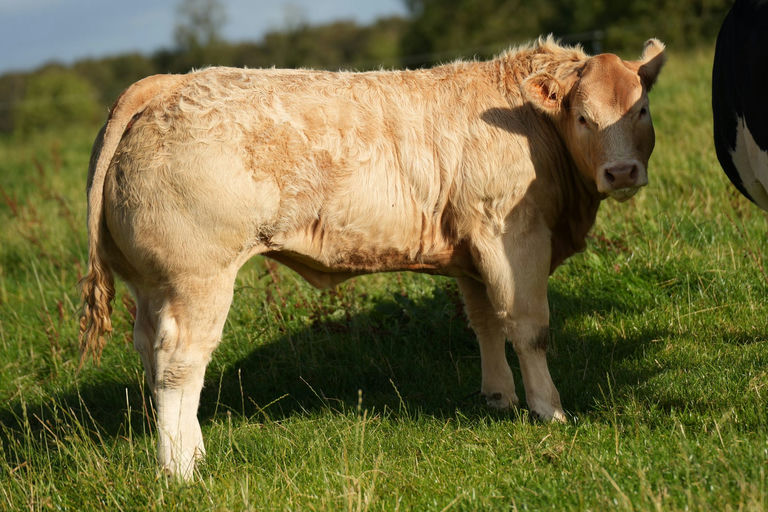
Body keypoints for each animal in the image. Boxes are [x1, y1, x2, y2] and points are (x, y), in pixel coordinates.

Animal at [79, 37, 666, 479]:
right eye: (584, 117)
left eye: (641, 110)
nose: (621, 173)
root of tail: (166, 83)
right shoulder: (512, 233)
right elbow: (528, 328)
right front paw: (549, 409)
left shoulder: (471, 250)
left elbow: (485, 324)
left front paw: (499, 398)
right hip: (197, 277)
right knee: (180, 362)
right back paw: (181, 467)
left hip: (152, 284)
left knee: (150, 352)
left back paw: (191, 450)